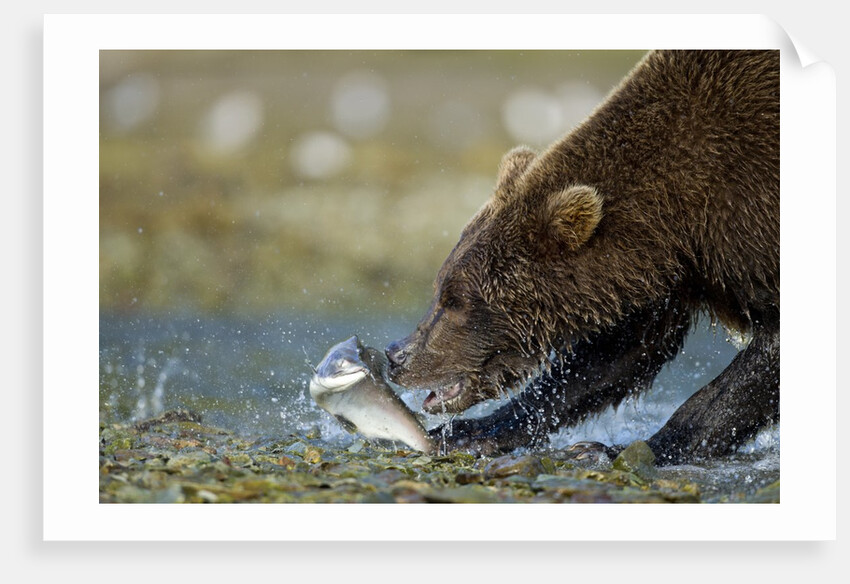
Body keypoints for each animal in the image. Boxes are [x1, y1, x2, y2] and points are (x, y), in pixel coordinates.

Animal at [385, 50, 779, 465]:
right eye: (440, 289)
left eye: (456, 300)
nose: (396, 355)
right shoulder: (663, 275)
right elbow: (611, 356)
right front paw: (473, 431)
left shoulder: (751, 215)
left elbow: (759, 364)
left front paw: (620, 447)